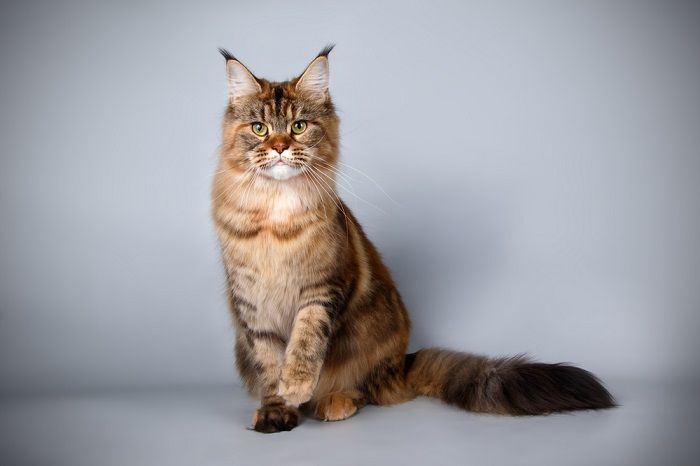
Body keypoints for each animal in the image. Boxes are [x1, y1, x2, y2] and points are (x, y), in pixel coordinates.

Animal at [211, 45, 616, 432]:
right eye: (259, 128)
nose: (279, 148)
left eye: (298, 126)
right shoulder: (252, 305)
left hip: (373, 337)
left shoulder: (323, 286)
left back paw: (334, 401)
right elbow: (268, 364)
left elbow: (306, 342)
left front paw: (295, 386)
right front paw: (276, 409)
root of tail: (402, 364)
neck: (275, 215)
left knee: (366, 390)